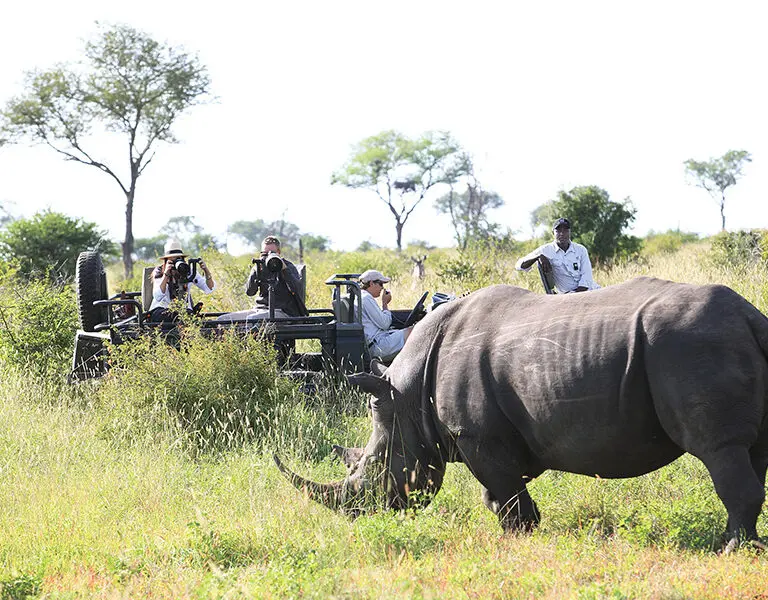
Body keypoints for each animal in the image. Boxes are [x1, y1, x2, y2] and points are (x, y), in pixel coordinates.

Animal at [275, 277, 768, 550]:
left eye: (375, 470)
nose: (362, 516)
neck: (408, 395)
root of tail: (751, 316)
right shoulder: (495, 434)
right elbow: (499, 492)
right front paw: (517, 532)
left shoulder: (476, 434)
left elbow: (504, 491)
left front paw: (518, 538)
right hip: (713, 342)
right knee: (753, 451)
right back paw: (740, 545)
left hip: (692, 345)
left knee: (720, 449)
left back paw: (728, 551)